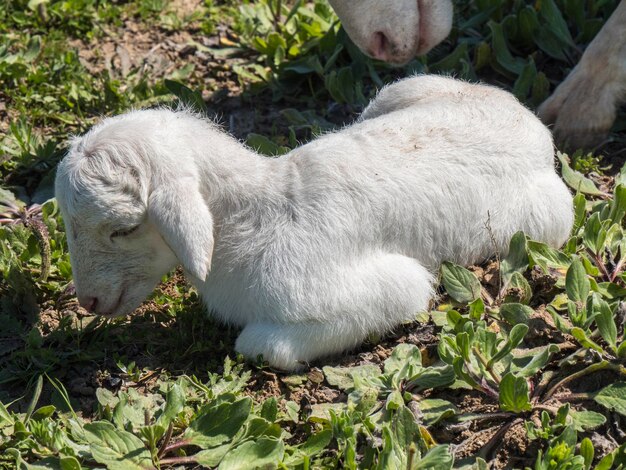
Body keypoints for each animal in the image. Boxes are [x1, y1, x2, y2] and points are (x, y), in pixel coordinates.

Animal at [56, 75, 572, 370]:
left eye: (123, 229)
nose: (88, 301)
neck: (248, 220)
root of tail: (528, 121)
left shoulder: (393, 286)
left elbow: (258, 344)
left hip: (548, 220)